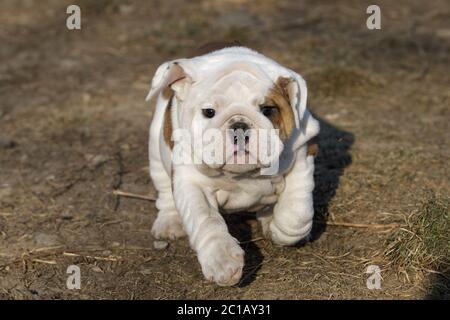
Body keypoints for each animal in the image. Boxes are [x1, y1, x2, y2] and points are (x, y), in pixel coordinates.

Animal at [146, 43, 318, 286]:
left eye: (267, 110)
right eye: (209, 112)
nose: (239, 126)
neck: (243, 175)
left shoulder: (303, 153)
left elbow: (297, 211)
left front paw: (281, 229)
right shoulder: (192, 184)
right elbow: (207, 221)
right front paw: (222, 260)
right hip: (156, 149)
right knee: (164, 189)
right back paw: (169, 222)